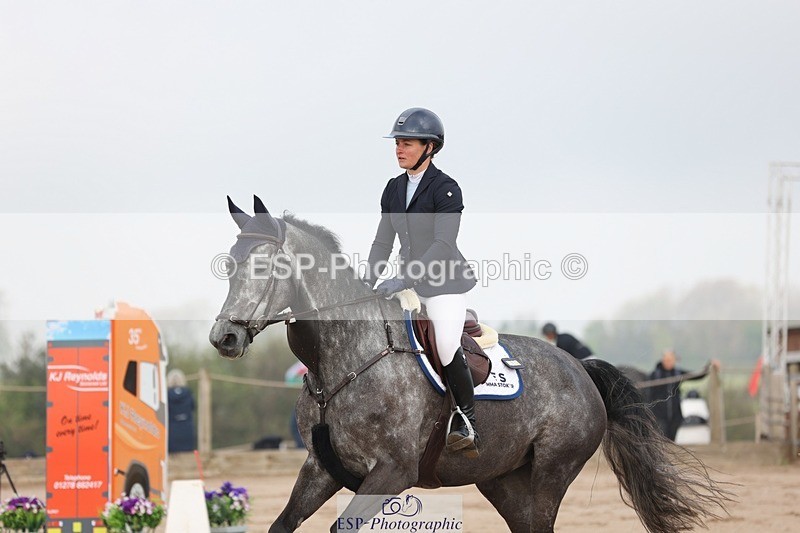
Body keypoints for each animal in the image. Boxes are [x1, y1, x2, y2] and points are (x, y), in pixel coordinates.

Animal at [209, 196, 731, 533]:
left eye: (263, 267)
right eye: (229, 265)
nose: (223, 338)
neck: (341, 360)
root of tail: (580, 368)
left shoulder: (392, 471)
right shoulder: (322, 468)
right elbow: (281, 524)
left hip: (552, 471)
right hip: (502, 480)